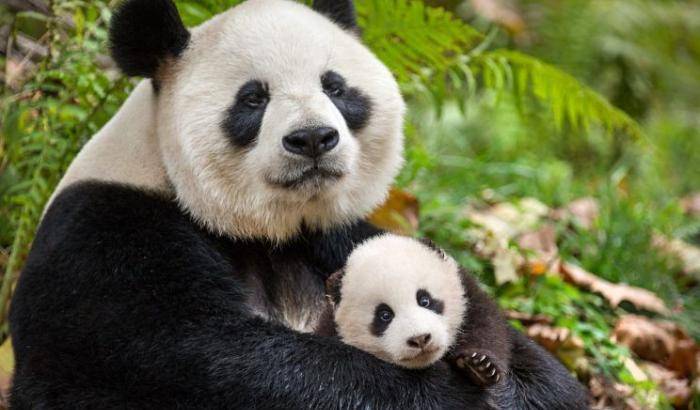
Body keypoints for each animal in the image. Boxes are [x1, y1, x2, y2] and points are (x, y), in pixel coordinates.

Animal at [316, 234, 510, 387]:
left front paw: (479, 366)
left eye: (424, 300)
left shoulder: (467, 294)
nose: (420, 339)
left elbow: (485, 324)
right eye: (384, 315)